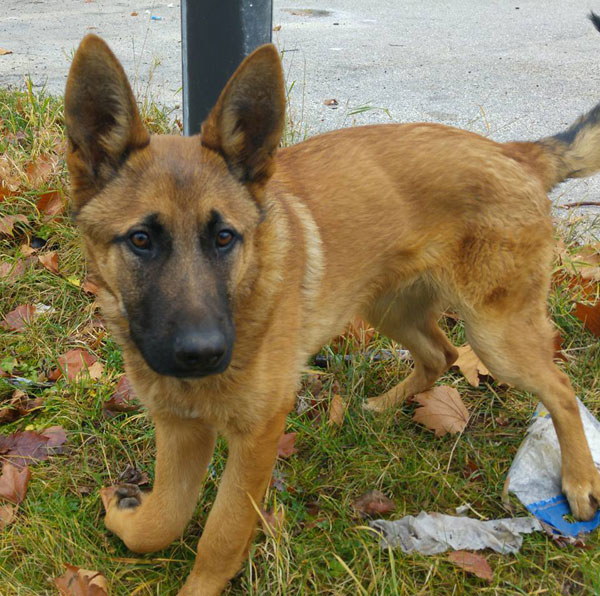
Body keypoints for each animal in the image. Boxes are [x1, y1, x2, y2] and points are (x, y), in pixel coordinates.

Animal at [64, 35, 600, 592]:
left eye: (224, 237)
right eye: (140, 240)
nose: (203, 354)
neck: (246, 291)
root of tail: (514, 152)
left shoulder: (257, 438)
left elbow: (222, 533)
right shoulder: (179, 428)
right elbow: (161, 522)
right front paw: (124, 514)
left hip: (496, 336)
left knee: (560, 390)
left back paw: (579, 481)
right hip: (391, 309)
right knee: (442, 353)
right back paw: (382, 406)